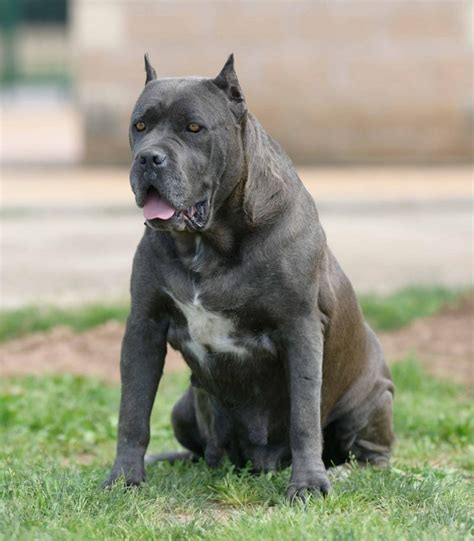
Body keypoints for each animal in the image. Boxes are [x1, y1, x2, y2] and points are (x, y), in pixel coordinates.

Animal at [104, 53, 396, 498]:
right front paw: (124, 478)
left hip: (372, 399)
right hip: (183, 408)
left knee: (369, 454)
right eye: (140, 126)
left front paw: (308, 484)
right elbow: (133, 411)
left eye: (194, 128)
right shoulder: (144, 325)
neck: (207, 244)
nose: (149, 158)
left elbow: (304, 415)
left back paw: (347, 470)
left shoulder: (300, 327)